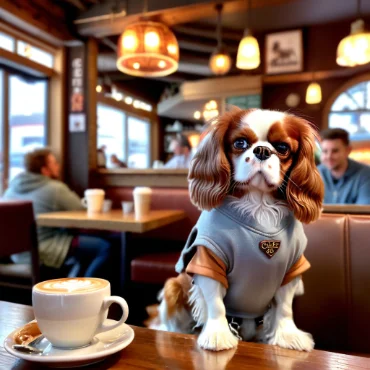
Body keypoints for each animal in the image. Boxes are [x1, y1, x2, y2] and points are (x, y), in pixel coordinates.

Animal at [150, 108, 324, 352]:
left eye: (282, 148)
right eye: (240, 143)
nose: (262, 150)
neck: (259, 205)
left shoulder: (292, 267)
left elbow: (285, 307)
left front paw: (288, 335)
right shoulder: (209, 261)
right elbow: (216, 303)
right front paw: (218, 334)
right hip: (172, 288)